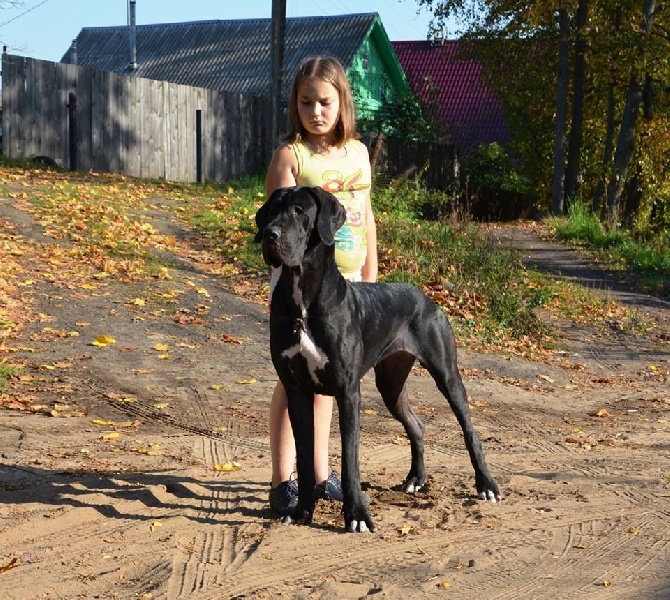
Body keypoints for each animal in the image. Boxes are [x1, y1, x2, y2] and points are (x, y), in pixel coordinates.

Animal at [255, 185, 502, 532]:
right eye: (272, 210)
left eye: (300, 211)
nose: (269, 234)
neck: (302, 303)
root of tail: (426, 296)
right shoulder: (297, 390)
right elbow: (303, 456)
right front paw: (302, 511)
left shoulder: (348, 390)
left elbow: (350, 458)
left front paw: (357, 515)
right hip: (391, 384)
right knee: (416, 424)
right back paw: (416, 478)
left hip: (447, 375)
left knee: (470, 431)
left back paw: (486, 485)